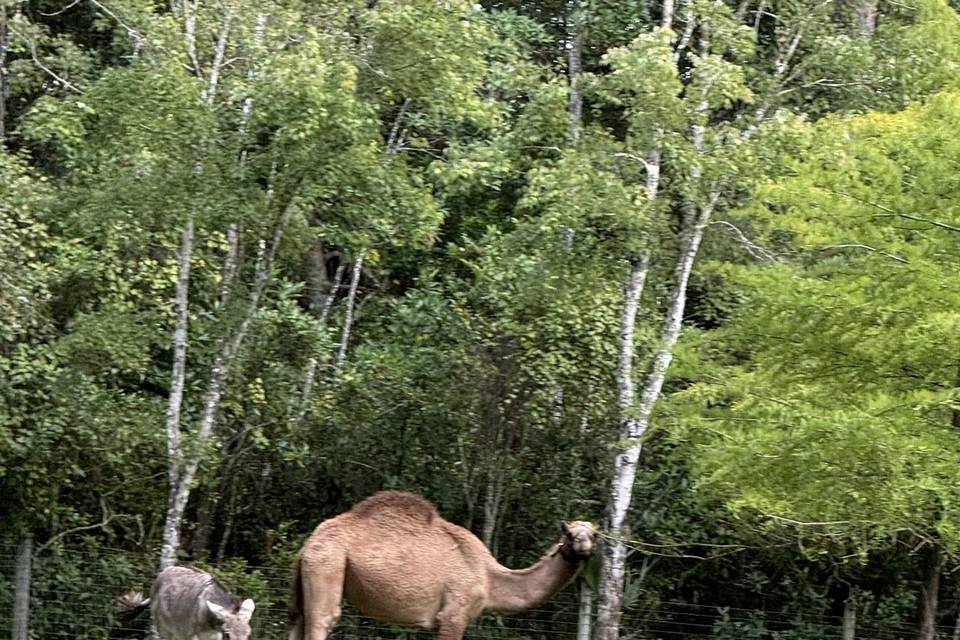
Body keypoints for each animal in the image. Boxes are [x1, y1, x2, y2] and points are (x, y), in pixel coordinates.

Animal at [288, 490, 597, 640]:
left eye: (593, 534)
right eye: (569, 534)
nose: (583, 546)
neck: (490, 578)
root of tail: (308, 545)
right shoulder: (454, 614)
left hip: (307, 576)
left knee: (297, 621)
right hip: (328, 563)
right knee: (323, 620)